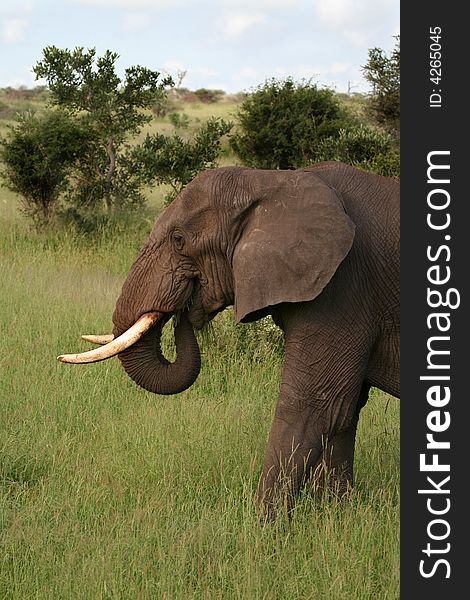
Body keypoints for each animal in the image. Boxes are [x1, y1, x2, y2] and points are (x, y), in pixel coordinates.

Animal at [57, 161, 398, 516]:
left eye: (179, 240)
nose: (185, 308)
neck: (271, 180)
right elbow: (347, 408)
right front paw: (338, 515)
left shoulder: (342, 287)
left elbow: (315, 405)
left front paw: (265, 526)